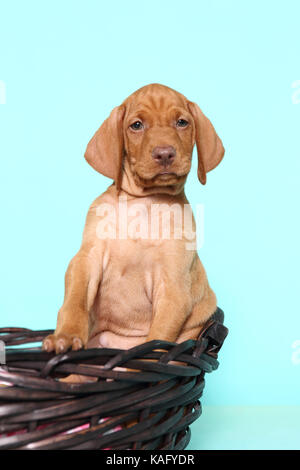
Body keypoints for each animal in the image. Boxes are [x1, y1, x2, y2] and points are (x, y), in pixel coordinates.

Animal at [43, 85, 224, 356]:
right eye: (136, 125)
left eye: (182, 122)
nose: (164, 153)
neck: (145, 202)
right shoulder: (86, 260)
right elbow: (74, 303)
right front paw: (64, 336)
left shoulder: (173, 287)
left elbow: (158, 338)